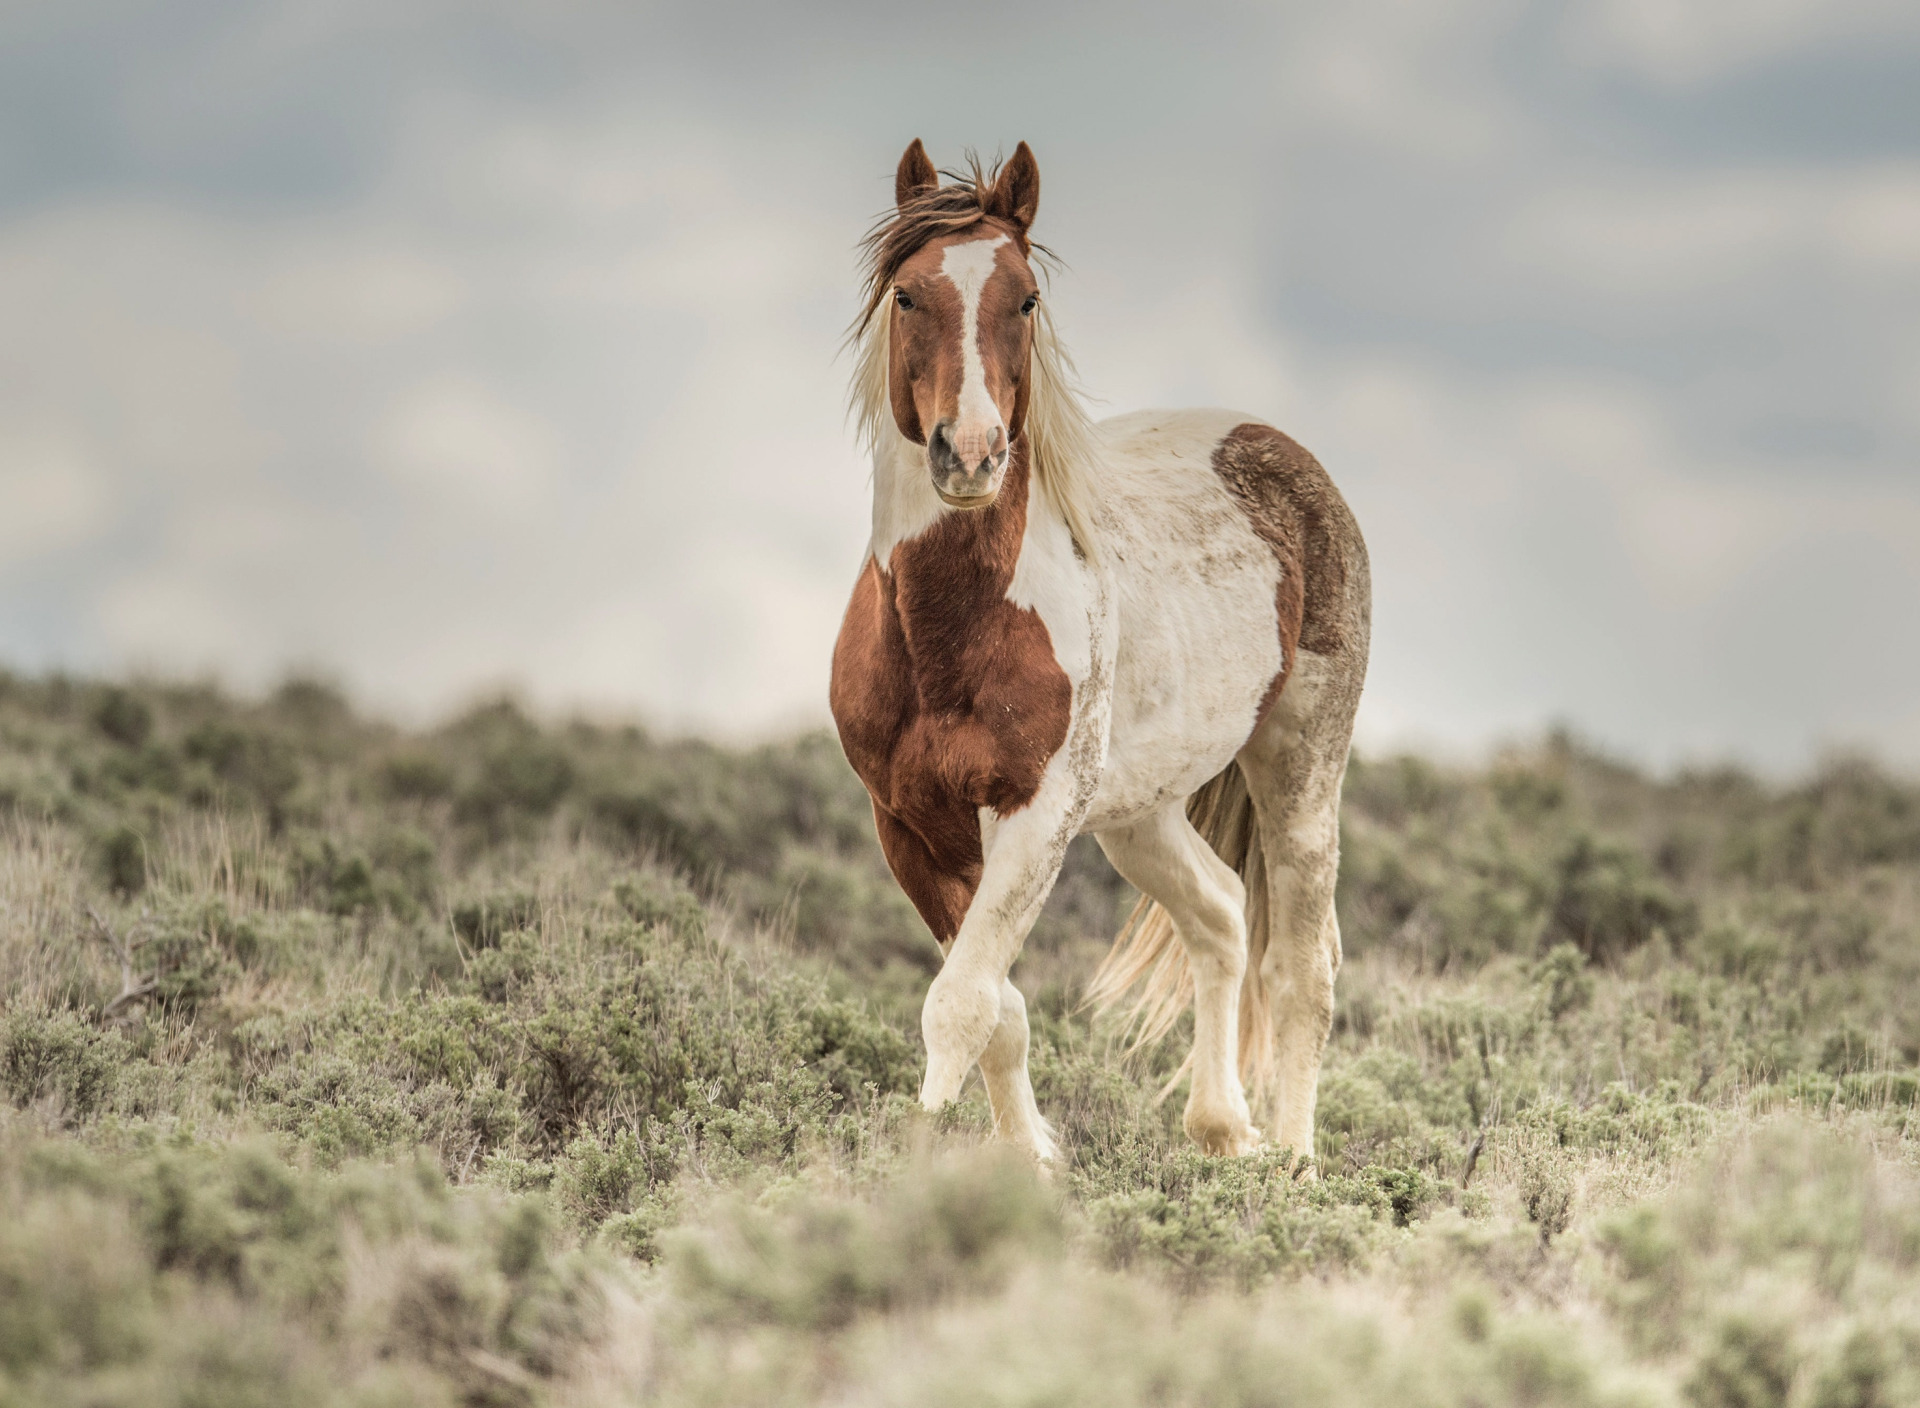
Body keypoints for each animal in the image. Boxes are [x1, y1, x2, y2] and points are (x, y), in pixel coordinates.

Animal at [825, 137, 1367, 1160]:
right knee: (1221, 913)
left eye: (1026, 299)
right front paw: (1028, 1161)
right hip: (1137, 812)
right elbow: (998, 1008)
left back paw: (1294, 1162)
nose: (971, 454)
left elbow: (960, 1004)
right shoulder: (905, 826)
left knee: (1301, 967)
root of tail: (1282, 452)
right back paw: (1221, 1129)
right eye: (908, 295)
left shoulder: (1035, 815)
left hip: (1302, 767)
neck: (945, 638)